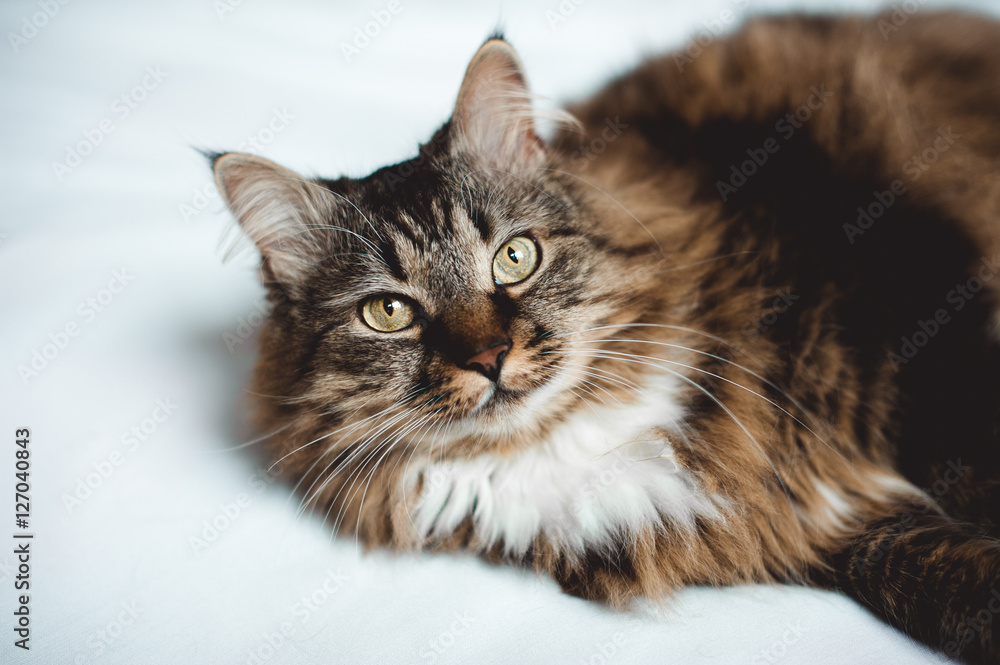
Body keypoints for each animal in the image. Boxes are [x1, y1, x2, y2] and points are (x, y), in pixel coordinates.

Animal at [209, 11, 1000, 664]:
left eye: (515, 257)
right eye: (388, 313)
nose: (489, 358)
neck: (589, 438)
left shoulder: (936, 333)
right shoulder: (828, 530)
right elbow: (933, 580)